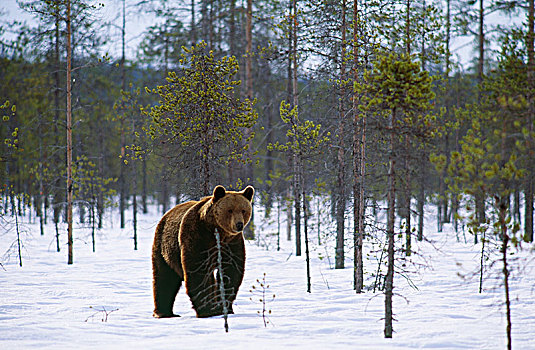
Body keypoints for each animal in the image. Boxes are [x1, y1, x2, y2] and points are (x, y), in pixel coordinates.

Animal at [152, 185, 254, 318]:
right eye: (230, 210)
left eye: (243, 210)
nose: (239, 224)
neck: (217, 232)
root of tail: (167, 213)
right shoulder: (198, 237)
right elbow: (198, 270)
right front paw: (208, 310)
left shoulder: (231, 243)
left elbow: (230, 271)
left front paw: (224, 307)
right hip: (165, 248)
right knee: (164, 277)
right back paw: (164, 312)